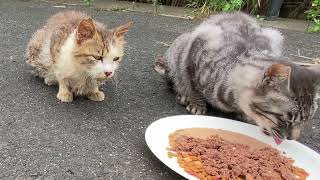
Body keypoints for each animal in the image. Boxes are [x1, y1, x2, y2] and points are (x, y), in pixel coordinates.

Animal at [154, 11, 318, 143]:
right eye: (285, 120)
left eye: (305, 122)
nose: (292, 139)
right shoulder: (195, 48)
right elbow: (192, 85)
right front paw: (196, 103)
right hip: (180, 48)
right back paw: (183, 94)